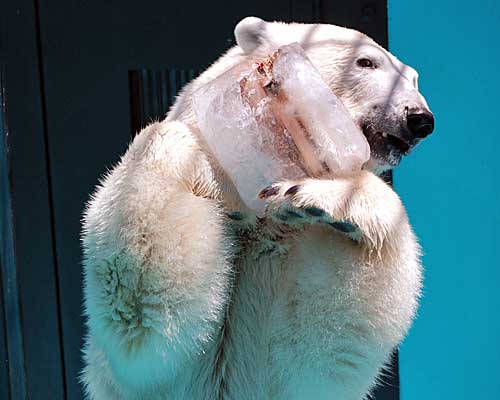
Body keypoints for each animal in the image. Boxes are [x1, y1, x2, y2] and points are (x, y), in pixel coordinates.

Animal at [81, 16, 434, 400]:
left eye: (414, 78)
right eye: (366, 62)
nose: (420, 119)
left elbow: (323, 342)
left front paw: (316, 199)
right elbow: (146, 320)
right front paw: (209, 177)